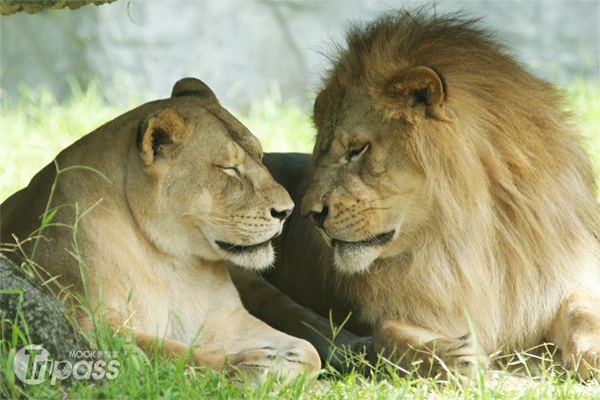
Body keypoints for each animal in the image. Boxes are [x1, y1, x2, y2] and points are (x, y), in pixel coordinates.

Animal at [0, 77, 322, 378]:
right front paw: (252, 367)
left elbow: (311, 351)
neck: (171, 262)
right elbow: (172, 354)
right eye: (228, 169)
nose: (288, 211)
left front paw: (284, 360)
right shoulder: (87, 325)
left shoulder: (226, 320)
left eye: (261, 156)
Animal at [241, 10, 600, 378]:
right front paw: (454, 356)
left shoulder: (554, 277)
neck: (464, 237)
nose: (309, 214)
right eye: (321, 153)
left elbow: (581, 310)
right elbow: (388, 331)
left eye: (357, 150)